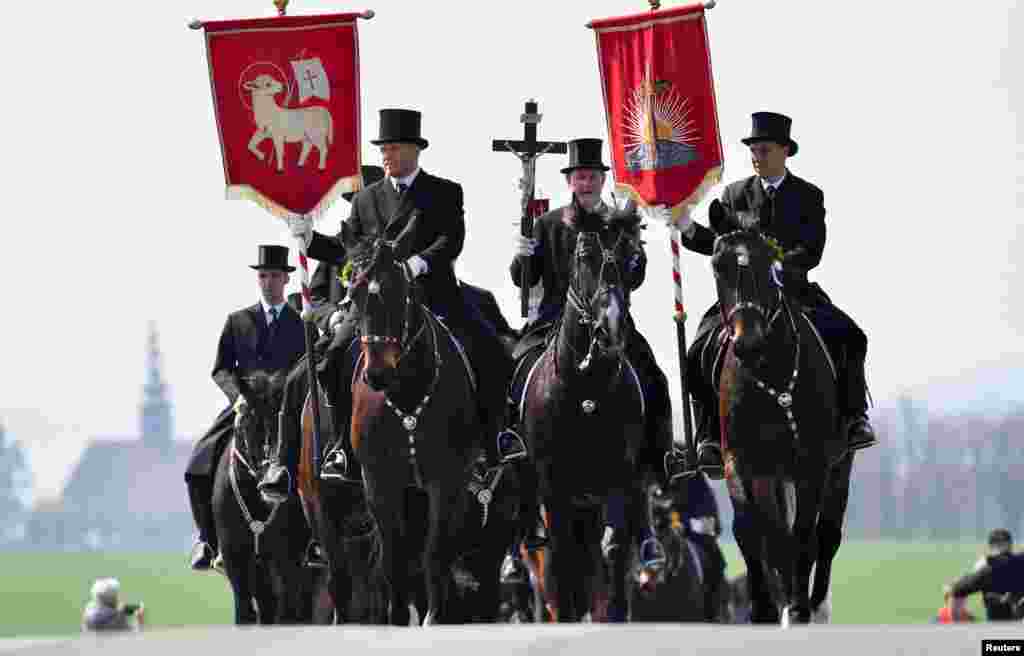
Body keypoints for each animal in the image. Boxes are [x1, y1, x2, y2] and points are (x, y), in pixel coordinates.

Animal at [520, 213, 647, 618]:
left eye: (630, 256)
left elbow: (613, 552)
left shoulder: (617, 481)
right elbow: (560, 565)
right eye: (584, 256)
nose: (611, 328)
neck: (586, 390)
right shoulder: (554, 490)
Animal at [712, 230, 847, 622]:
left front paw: (799, 608)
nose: (748, 342)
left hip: (838, 465)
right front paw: (764, 608)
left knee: (826, 535)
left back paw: (814, 606)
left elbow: (804, 533)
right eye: (718, 267)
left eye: (766, 267)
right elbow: (752, 531)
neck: (769, 368)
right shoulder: (741, 462)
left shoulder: (812, 464)